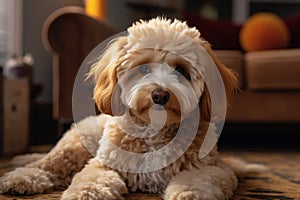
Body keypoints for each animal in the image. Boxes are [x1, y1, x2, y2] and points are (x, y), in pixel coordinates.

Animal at [0, 18, 258, 199]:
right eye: (143, 69)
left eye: (181, 70)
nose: (160, 94)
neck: (155, 133)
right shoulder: (102, 164)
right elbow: (90, 180)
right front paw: (83, 194)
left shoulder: (215, 170)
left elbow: (196, 182)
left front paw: (188, 194)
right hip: (76, 147)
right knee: (48, 164)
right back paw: (20, 178)